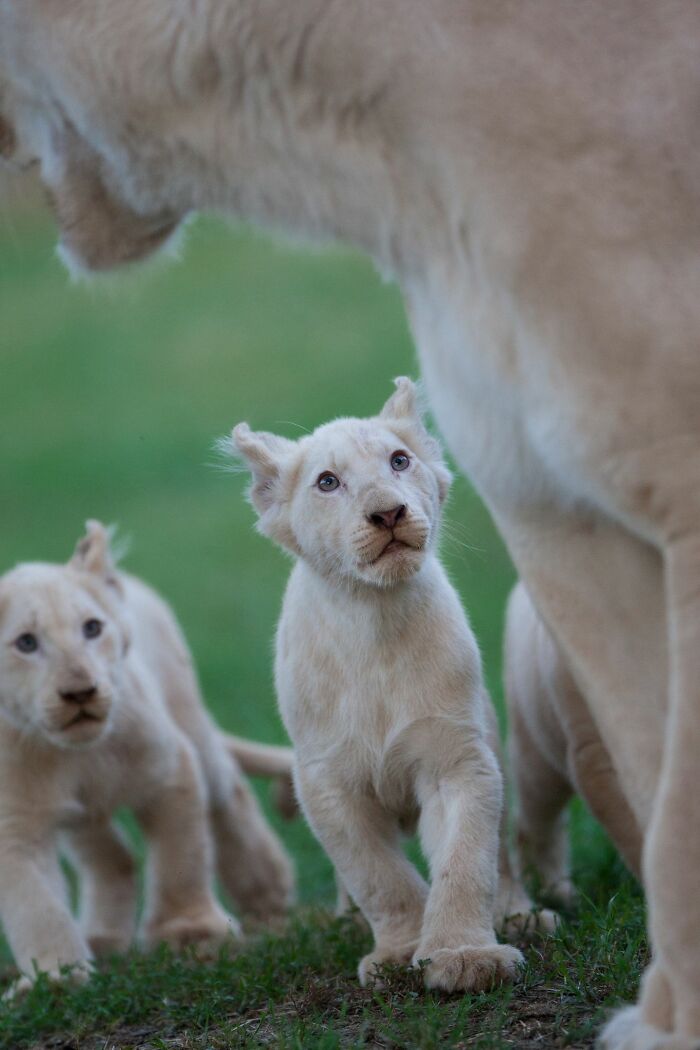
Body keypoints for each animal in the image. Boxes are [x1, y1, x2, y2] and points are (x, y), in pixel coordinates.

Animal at [0, 521, 294, 992]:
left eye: (91, 628)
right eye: (25, 643)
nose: (80, 692)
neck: (78, 756)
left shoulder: (171, 769)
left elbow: (181, 856)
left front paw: (191, 933)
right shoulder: (15, 825)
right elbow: (35, 905)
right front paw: (55, 979)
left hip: (191, 719)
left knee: (229, 792)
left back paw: (267, 894)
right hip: (83, 818)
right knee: (114, 857)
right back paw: (101, 937)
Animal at [230, 377, 559, 994]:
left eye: (399, 461)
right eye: (327, 482)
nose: (388, 513)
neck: (375, 619)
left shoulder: (458, 757)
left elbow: (466, 860)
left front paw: (464, 955)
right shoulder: (328, 782)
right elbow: (380, 877)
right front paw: (400, 951)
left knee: (502, 857)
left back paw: (519, 915)